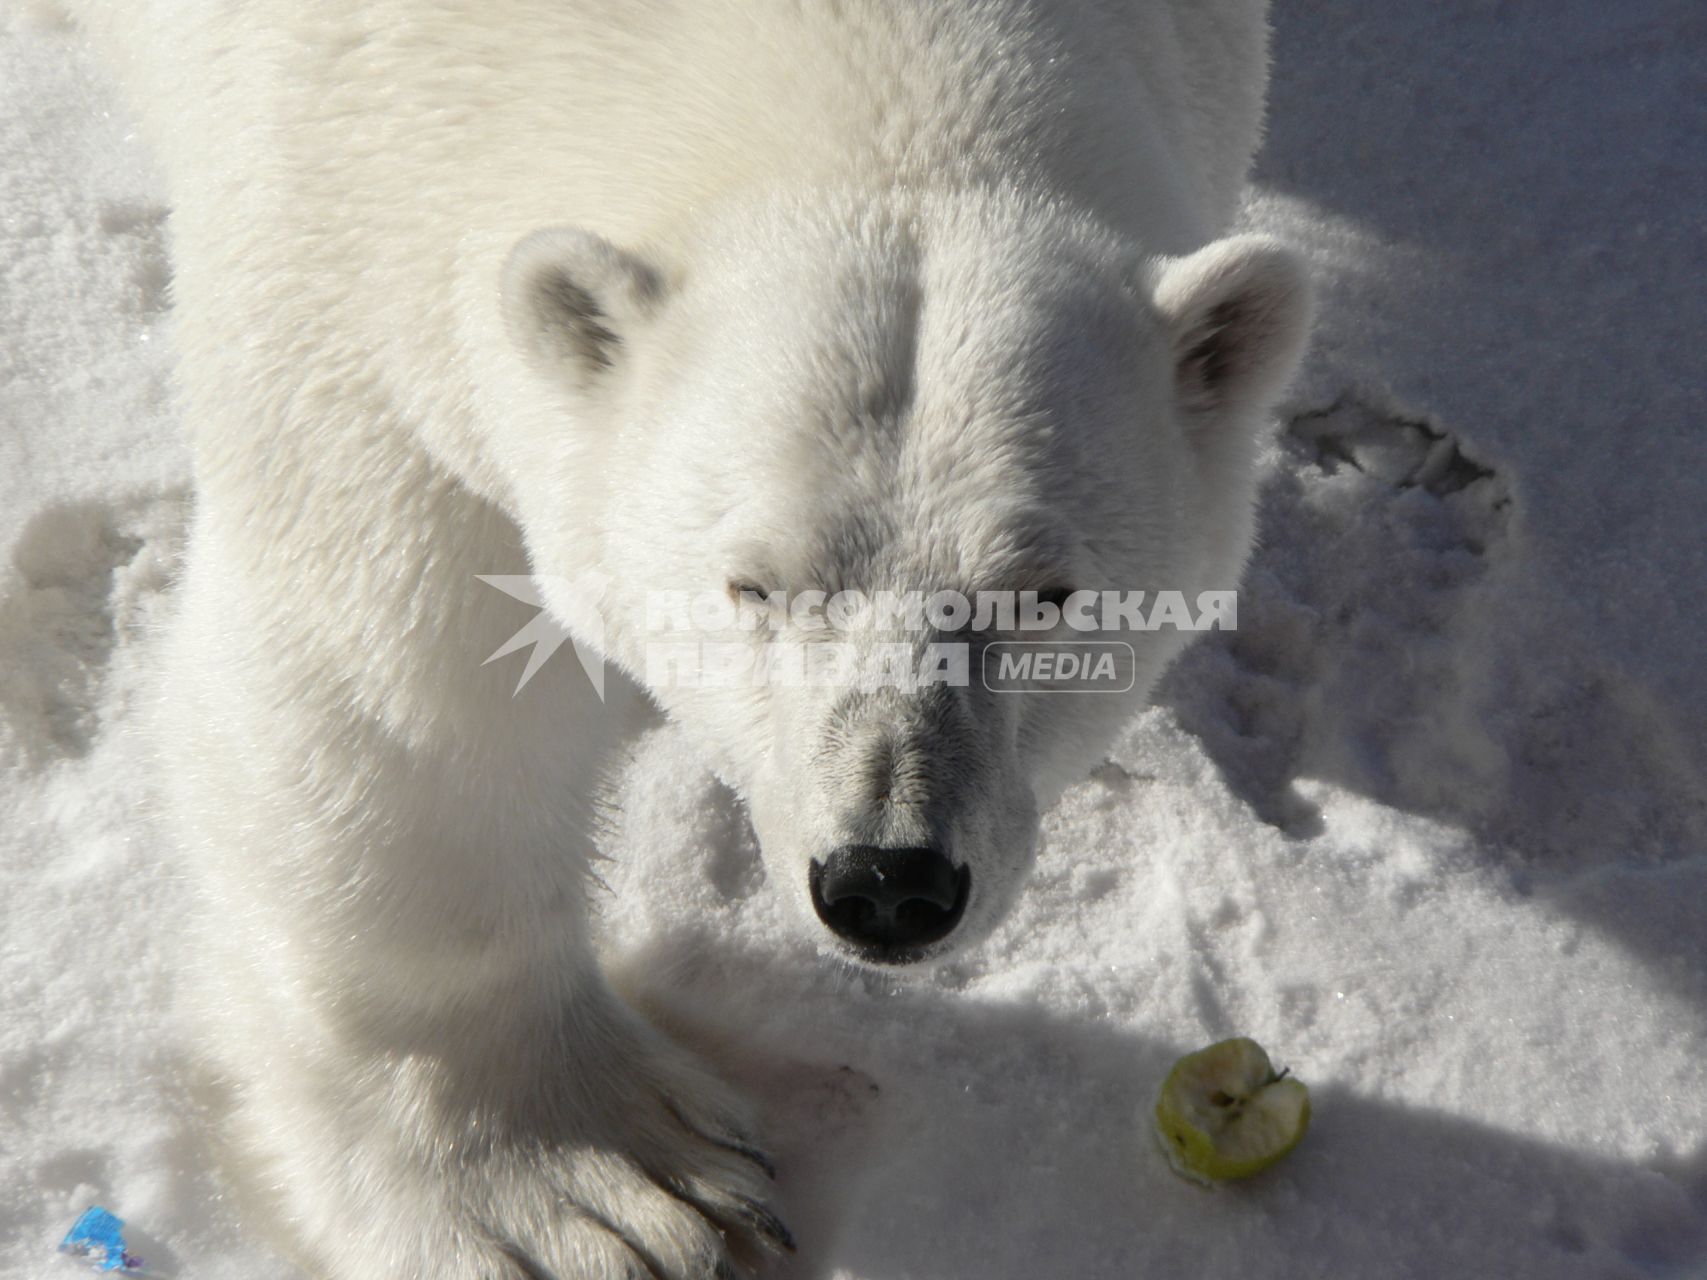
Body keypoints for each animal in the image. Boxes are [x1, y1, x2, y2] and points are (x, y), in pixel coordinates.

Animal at [60, 0, 1297, 1276]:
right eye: (750, 585)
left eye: (1044, 594)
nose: (888, 881)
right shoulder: (346, 250)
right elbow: (401, 693)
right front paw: (596, 1185)